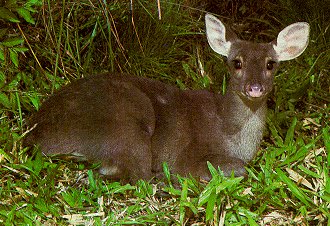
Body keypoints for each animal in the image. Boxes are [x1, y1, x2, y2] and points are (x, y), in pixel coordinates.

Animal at [25, 13, 310, 182]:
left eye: (271, 64)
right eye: (236, 62)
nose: (255, 88)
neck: (229, 133)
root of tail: (37, 136)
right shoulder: (189, 154)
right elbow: (237, 168)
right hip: (127, 123)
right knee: (133, 172)